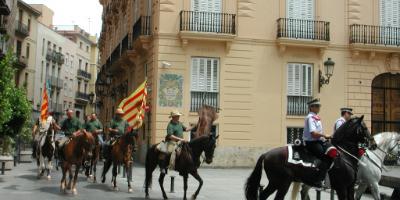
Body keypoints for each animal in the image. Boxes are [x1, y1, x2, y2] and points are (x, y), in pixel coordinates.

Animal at [245, 115, 374, 200]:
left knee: (264, 196)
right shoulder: (341, 187)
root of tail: (266, 154)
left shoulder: (350, 187)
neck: (344, 155)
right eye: (365, 128)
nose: (373, 143)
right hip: (281, 182)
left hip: (278, 182)